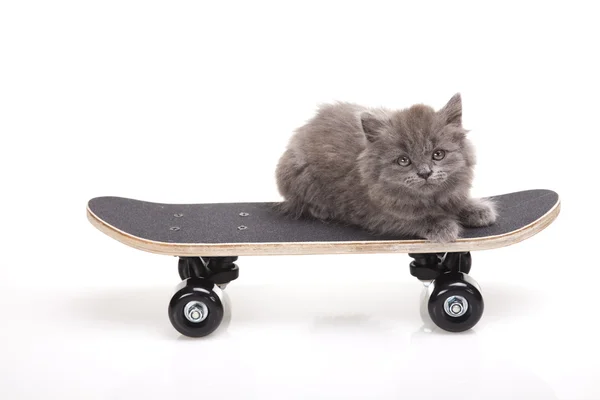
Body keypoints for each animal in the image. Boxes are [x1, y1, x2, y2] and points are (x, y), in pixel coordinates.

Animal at [274, 94, 494, 241]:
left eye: (438, 154)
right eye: (403, 160)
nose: (425, 173)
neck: (429, 199)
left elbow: (456, 201)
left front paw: (477, 209)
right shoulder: (376, 215)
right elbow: (414, 219)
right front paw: (442, 226)